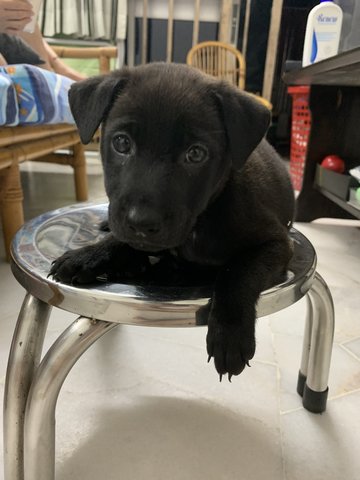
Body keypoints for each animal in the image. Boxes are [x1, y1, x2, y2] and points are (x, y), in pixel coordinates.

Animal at [50, 62, 294, 378]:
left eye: (196, 154)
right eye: (121, 143)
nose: (141, 223)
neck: (200, 224)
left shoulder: (276, 242)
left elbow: (239, 271)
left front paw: (229, 334)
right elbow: (120, 240)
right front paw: (88, 256)